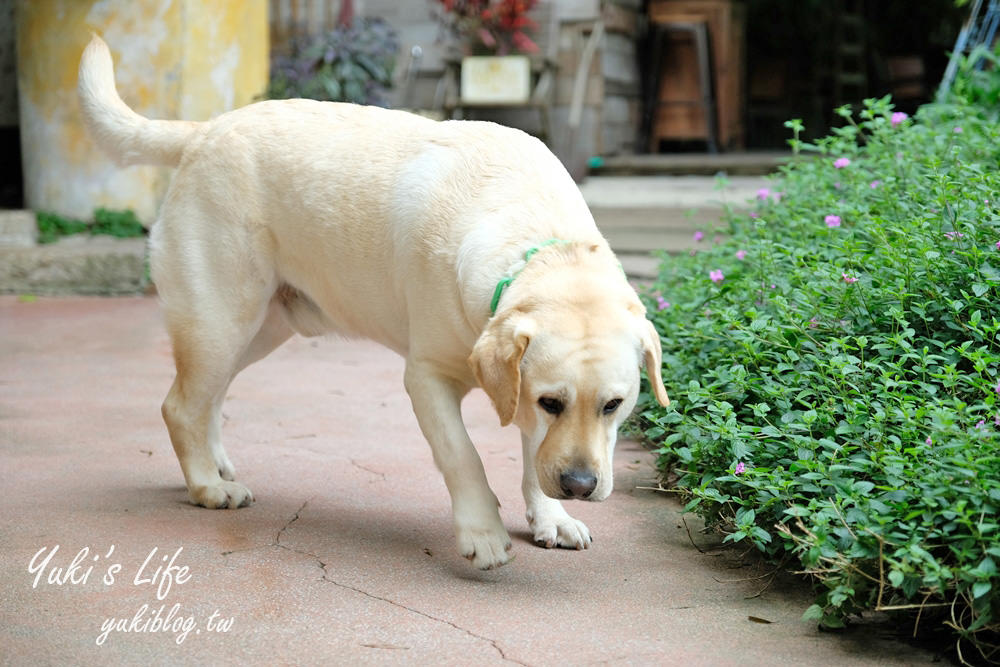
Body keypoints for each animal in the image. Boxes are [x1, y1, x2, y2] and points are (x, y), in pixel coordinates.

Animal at [80, 35, 672, 568]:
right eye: (552, 402)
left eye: (614, 405)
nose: (580, 484)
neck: (538, 244)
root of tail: (204, 130)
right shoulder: (428, 377)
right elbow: (464, 455)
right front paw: (483, 532)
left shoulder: (516, 387)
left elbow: (530, 454)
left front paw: (550, 517)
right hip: (220, 320)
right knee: (180, 403)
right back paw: (206, 485)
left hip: (260, 330)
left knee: (209, 395)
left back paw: (216, 463)